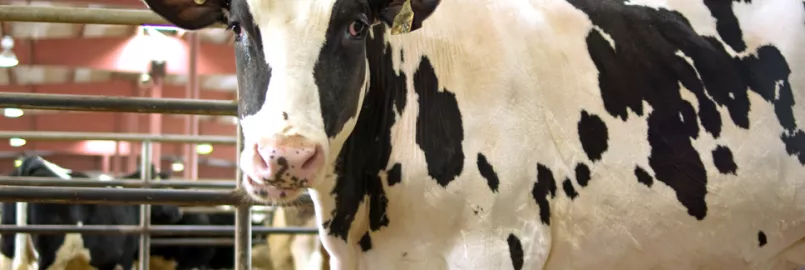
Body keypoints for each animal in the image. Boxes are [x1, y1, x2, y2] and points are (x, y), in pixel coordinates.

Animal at [0, 156, 182, 270]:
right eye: (165, 185)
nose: (178, 212)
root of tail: (32, 161)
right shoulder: (125, 257)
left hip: (7, 252)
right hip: (51, 257)